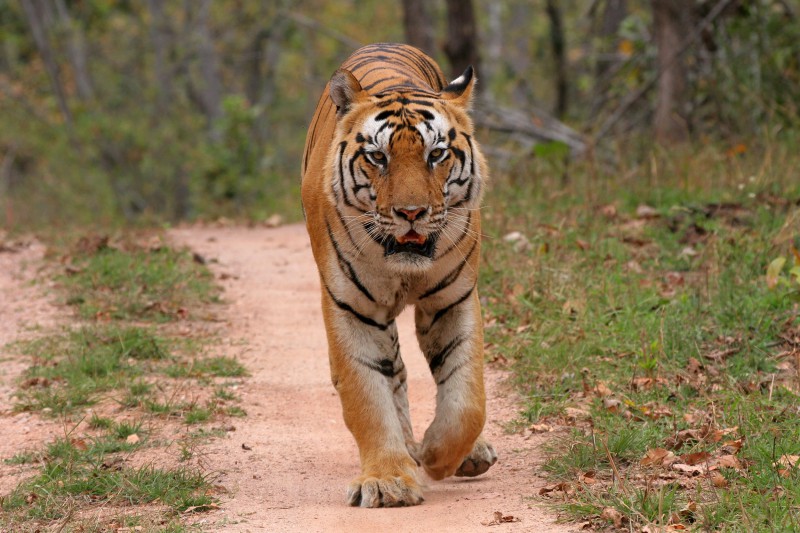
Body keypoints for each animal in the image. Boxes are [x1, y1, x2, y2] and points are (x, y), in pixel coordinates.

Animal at [302, 42, 494, 508]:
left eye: (436, 154)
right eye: (378, 157)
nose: (411, 213)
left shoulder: (454, 299)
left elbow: (467, 397)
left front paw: (440, 455)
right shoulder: (351, 307)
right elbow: (367, 395)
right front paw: (388, 480)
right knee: (396, 375)